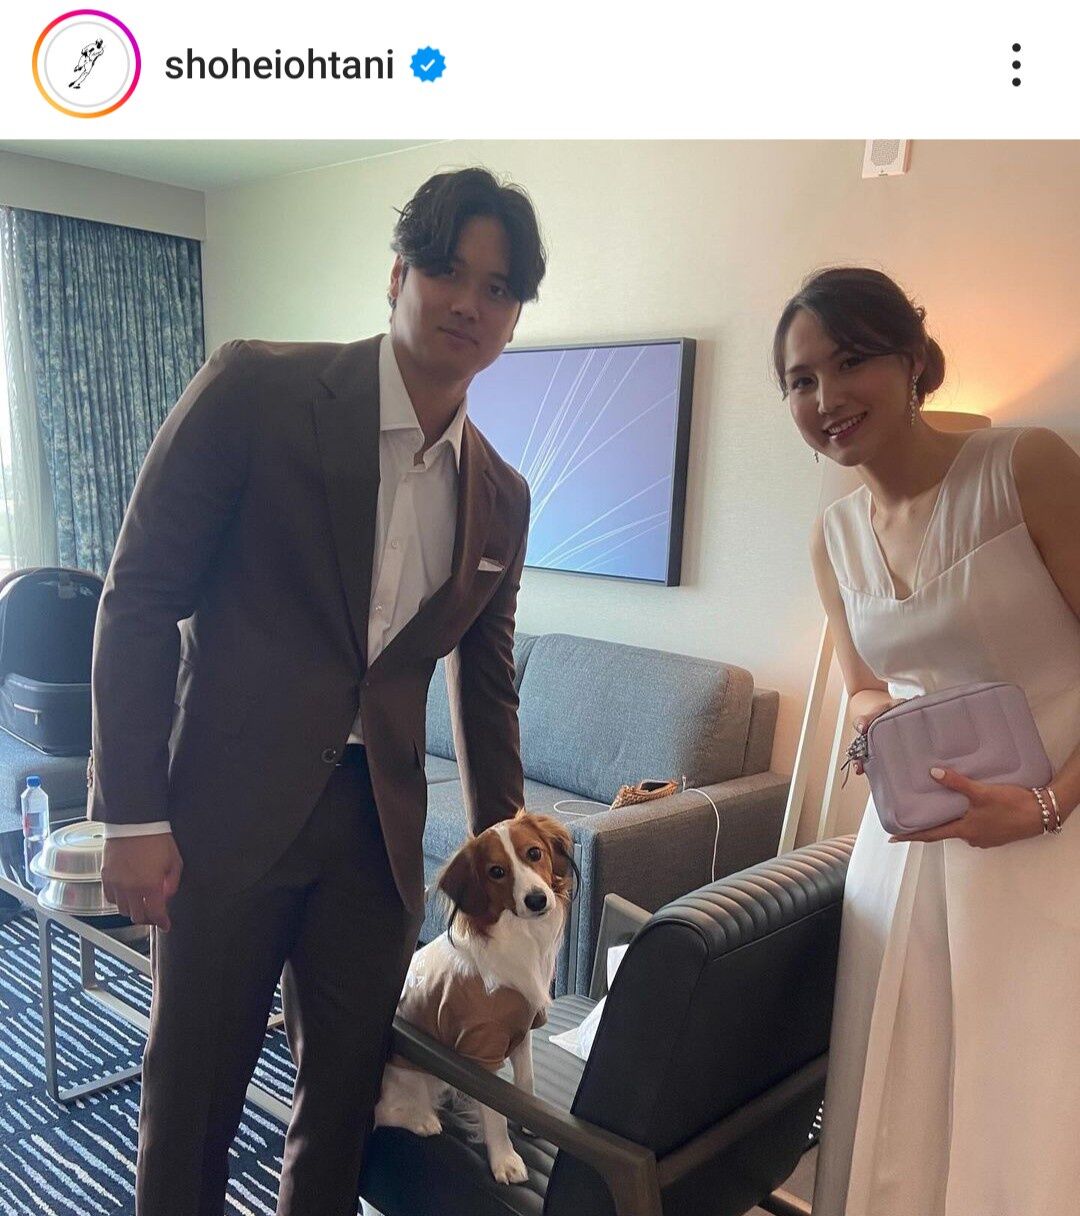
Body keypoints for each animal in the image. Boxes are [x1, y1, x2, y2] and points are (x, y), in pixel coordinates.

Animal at [373, 810, 574, 1184]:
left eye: (534, 853)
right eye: (496, 872)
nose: (536, 900)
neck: (518, 936)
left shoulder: (520, 1031)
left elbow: (525, 1082)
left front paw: (527, 1120)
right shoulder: (481, 1051)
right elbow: (494, 1113)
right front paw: (505, 1160)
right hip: (410, 1078)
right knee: (387, 1111)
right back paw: (423, 1120)